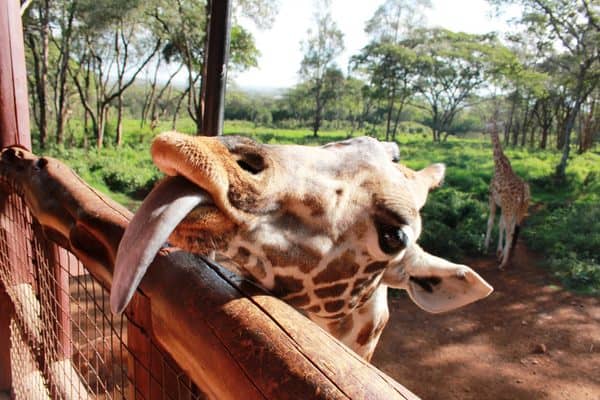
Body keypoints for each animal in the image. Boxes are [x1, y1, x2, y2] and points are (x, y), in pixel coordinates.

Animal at [486, 122, 532, 268]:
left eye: (488, 124)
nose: (484, 130)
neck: (499, 165)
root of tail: (524, 192)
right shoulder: (502, 204)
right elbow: (500, 225)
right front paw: (499, 251)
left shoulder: (492, 199)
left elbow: (490, 222)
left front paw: (485, 247)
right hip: (520, 210)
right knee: (513, 229)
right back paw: (506, 257)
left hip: (509, 208)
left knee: (509, 231)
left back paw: (503, 263)